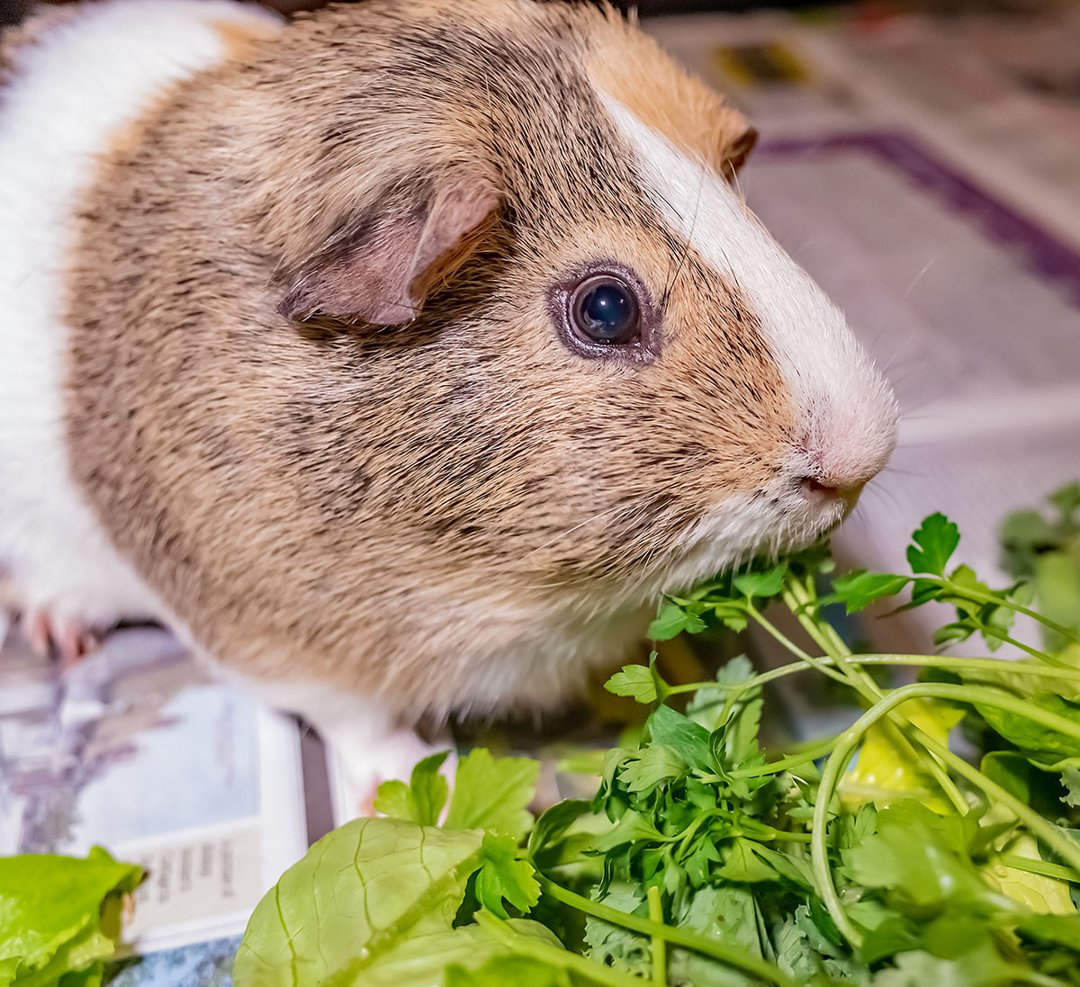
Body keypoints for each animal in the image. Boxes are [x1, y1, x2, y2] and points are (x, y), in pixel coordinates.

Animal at [0, 0, 898, 806]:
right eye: (606, 308)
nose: (859, 456)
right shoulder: (276, 637)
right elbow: (358, 720)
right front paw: (421, 781)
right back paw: (58, 635)